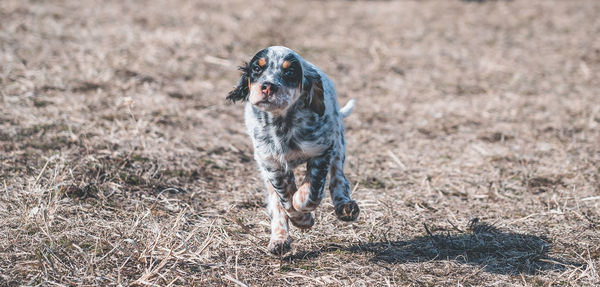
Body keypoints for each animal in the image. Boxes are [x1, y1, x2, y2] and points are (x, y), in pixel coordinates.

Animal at [226, 46, 358, 255]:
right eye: (257, 68)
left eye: (289, 73)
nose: (268, 86)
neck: (282, 123)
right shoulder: (272, 164)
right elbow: (285, 198)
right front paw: (301, 218)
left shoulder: (323, 150)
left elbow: (310, 192)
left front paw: (302, 209)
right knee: (275, 202)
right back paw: (279, 240)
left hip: (338, 142)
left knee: (338, 178)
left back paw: (345, 206)